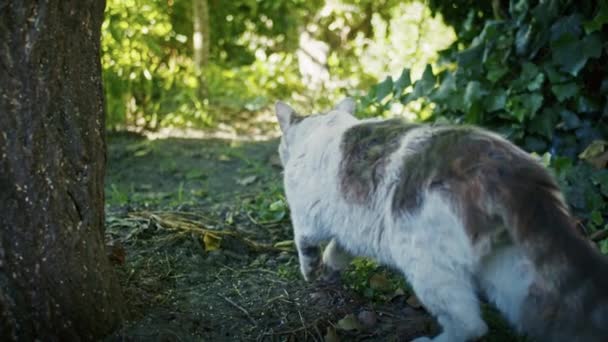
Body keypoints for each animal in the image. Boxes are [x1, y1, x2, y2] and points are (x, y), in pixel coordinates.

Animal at [274, 98, 608, 342]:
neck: (324, 129)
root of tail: (514, 170)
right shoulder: (351, 225)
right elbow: (339, 247)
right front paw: (331, 265)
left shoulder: (306, 218)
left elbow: (305, 245)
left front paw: (311, 271)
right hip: (508, 271)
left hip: (428, 267)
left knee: (471, 325)